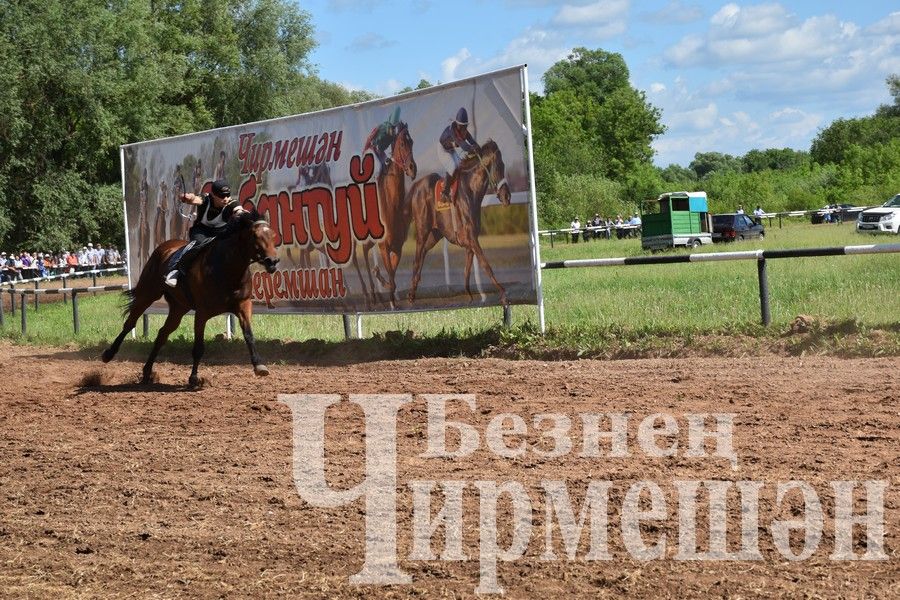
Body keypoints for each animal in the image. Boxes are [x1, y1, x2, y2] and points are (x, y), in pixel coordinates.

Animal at [102, 211, 280, 390]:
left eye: (273, 235)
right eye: (255, 235)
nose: (272, 261)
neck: (227, 269)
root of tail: (164, 247)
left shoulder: (243, 305)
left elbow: (249, 335)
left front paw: (259, 365)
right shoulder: (202, 313)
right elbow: (198, 347)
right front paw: (194, 378)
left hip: (178, 308)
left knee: (162, 334)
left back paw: (147, 372)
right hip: (147, 294)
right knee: (130, 323)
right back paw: (109, 354)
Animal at [360, 123, 416, 310]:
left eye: (412, 142)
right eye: (401, 144)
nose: (412, 168)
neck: (392, 206)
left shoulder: (397, 246)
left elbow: (393, 272)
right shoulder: (384, 246)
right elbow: (391, 275)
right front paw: (391, 300)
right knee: (360, 255)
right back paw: (370, 295)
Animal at [406, 140, 510, 304]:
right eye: (499, 167)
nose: (507, 197)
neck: (471, 192)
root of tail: (416, 185)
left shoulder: (470, 242)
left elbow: (467, 271)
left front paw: (470, 297)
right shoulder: (472, 239)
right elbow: (486, 265)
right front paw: (502, 291)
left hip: (435, 234)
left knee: (422, 254)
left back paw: (413, 290)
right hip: (423, 230)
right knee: (416, 257)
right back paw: (411, 294)